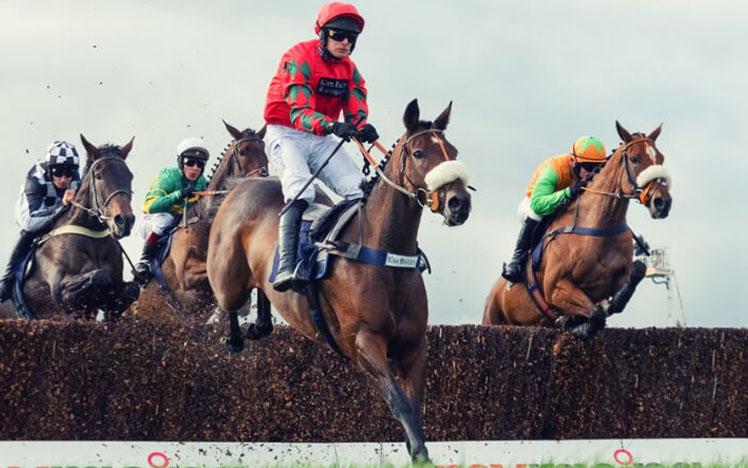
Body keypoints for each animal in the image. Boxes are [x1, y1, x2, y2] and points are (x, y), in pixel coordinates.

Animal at [207, 100, 470, 462]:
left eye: (453, 151)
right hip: (227, 275)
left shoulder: (413, 346)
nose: (459, 203)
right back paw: (236, 336)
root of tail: (241, 186)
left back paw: (260, 323)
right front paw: (418, 453)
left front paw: (419, 452)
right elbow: (399, 403)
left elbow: (415, 407)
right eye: (419, 153)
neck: (384, 254)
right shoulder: (363, 341)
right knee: (230, 300)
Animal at [482, 121, 676, 340]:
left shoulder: (615, 280)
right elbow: (596, 314)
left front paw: (596, 311)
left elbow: (636, 273)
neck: (600, 226)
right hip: (493, 320)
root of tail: (491, 295)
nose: (662, 202)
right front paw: (580, 325)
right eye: (635, 158)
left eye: (661, 158)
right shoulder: (556, 287)